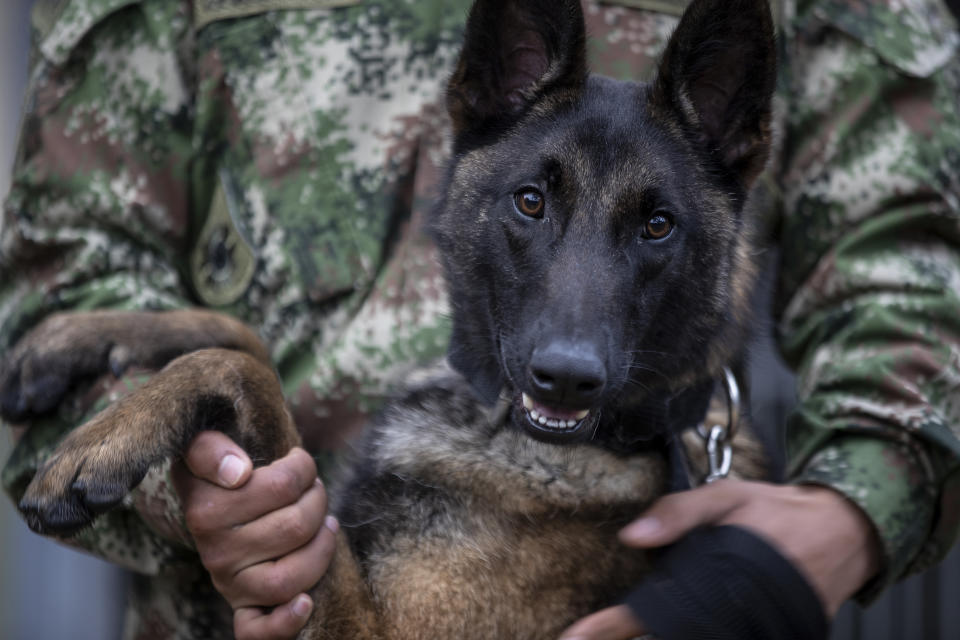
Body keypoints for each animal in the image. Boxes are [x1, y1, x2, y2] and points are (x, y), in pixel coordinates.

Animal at [0, 1, 776, 636]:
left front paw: (102, 442)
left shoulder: (379, 628)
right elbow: (247, 337)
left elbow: (248, 372)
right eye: (530, 201)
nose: (566, 378)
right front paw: (77, 340)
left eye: (658, 226)